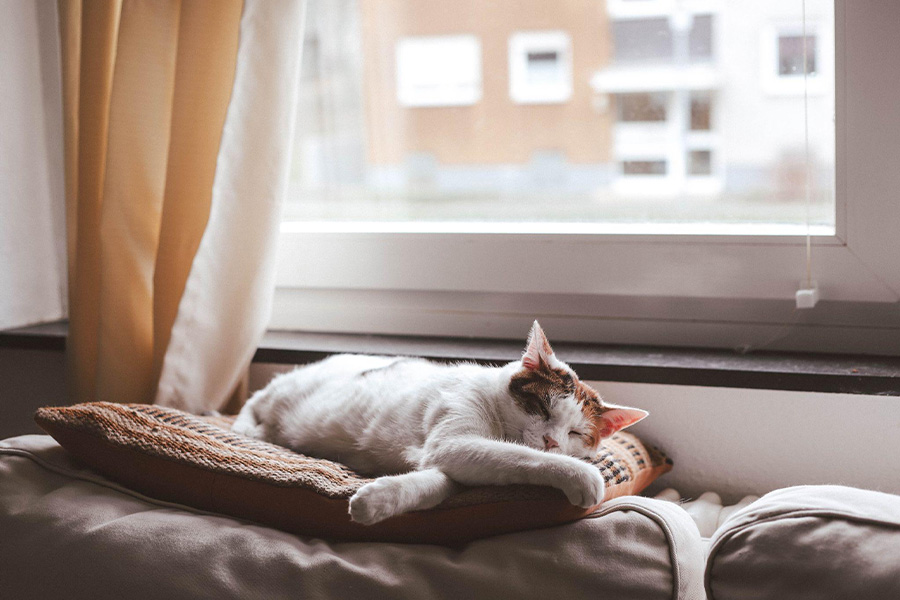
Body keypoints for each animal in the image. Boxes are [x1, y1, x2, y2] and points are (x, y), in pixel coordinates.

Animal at [232, 322, 648, 524]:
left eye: (575, 433)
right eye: (543, 410)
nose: (552, 442)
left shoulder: (446, 457)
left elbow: (436, 484)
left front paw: (376, 500)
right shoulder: (454, 441)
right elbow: (524, 457)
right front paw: (582, 476)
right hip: (284, 390)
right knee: (255, 400)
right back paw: (247, 428)